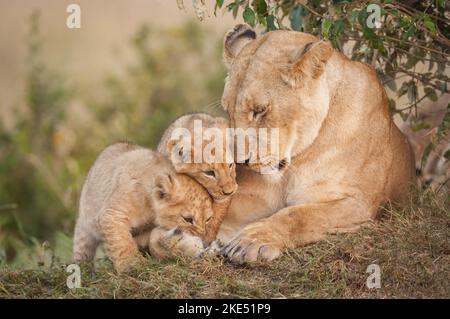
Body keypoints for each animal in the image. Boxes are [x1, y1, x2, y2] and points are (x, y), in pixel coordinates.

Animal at [218, 25, 414, 264]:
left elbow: (298, 215)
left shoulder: (358, 202)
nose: (239, 162)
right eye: (228, 111)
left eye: (260, 110)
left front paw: (251, 241)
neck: (294, 162)